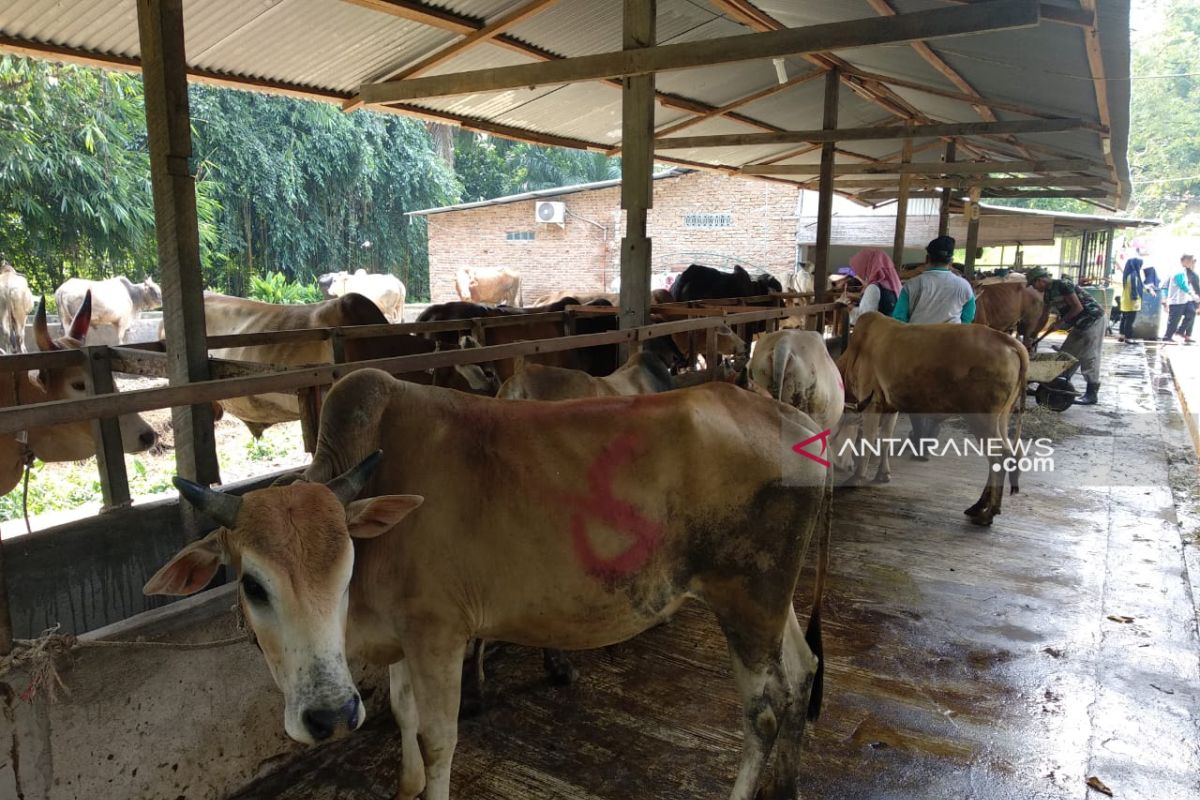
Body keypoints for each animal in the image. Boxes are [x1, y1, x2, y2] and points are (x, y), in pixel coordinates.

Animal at [840, 311, 1027, 525]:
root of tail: (1008, 340)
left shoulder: (872, 402)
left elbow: (869, 440)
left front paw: (856, 478)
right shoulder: (891, 406)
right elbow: (885, 438)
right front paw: (883, 474)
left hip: (982, 419)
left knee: (1000, 456)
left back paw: (987, 513)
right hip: (1002, 417)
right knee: (1004, 454)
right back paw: (978, 506)